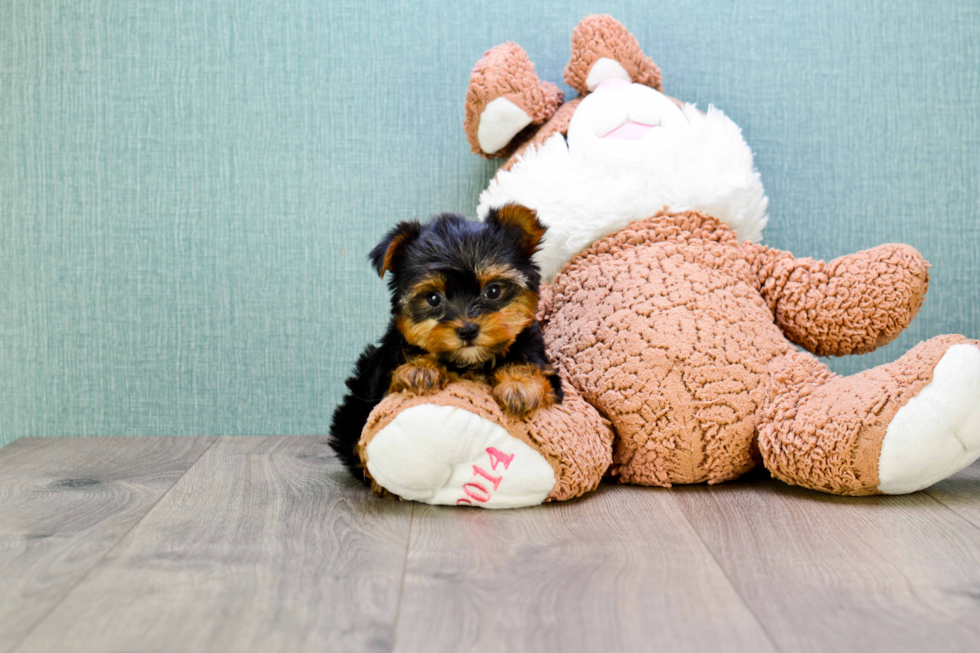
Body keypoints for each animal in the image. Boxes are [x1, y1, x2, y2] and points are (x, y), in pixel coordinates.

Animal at [330, 205, 564, 484]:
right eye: (433, 298)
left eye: (493, 291)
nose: (468, 329)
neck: (470, 362)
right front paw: (421, 369)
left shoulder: (540, 361)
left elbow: (529, 366)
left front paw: (519, 384)